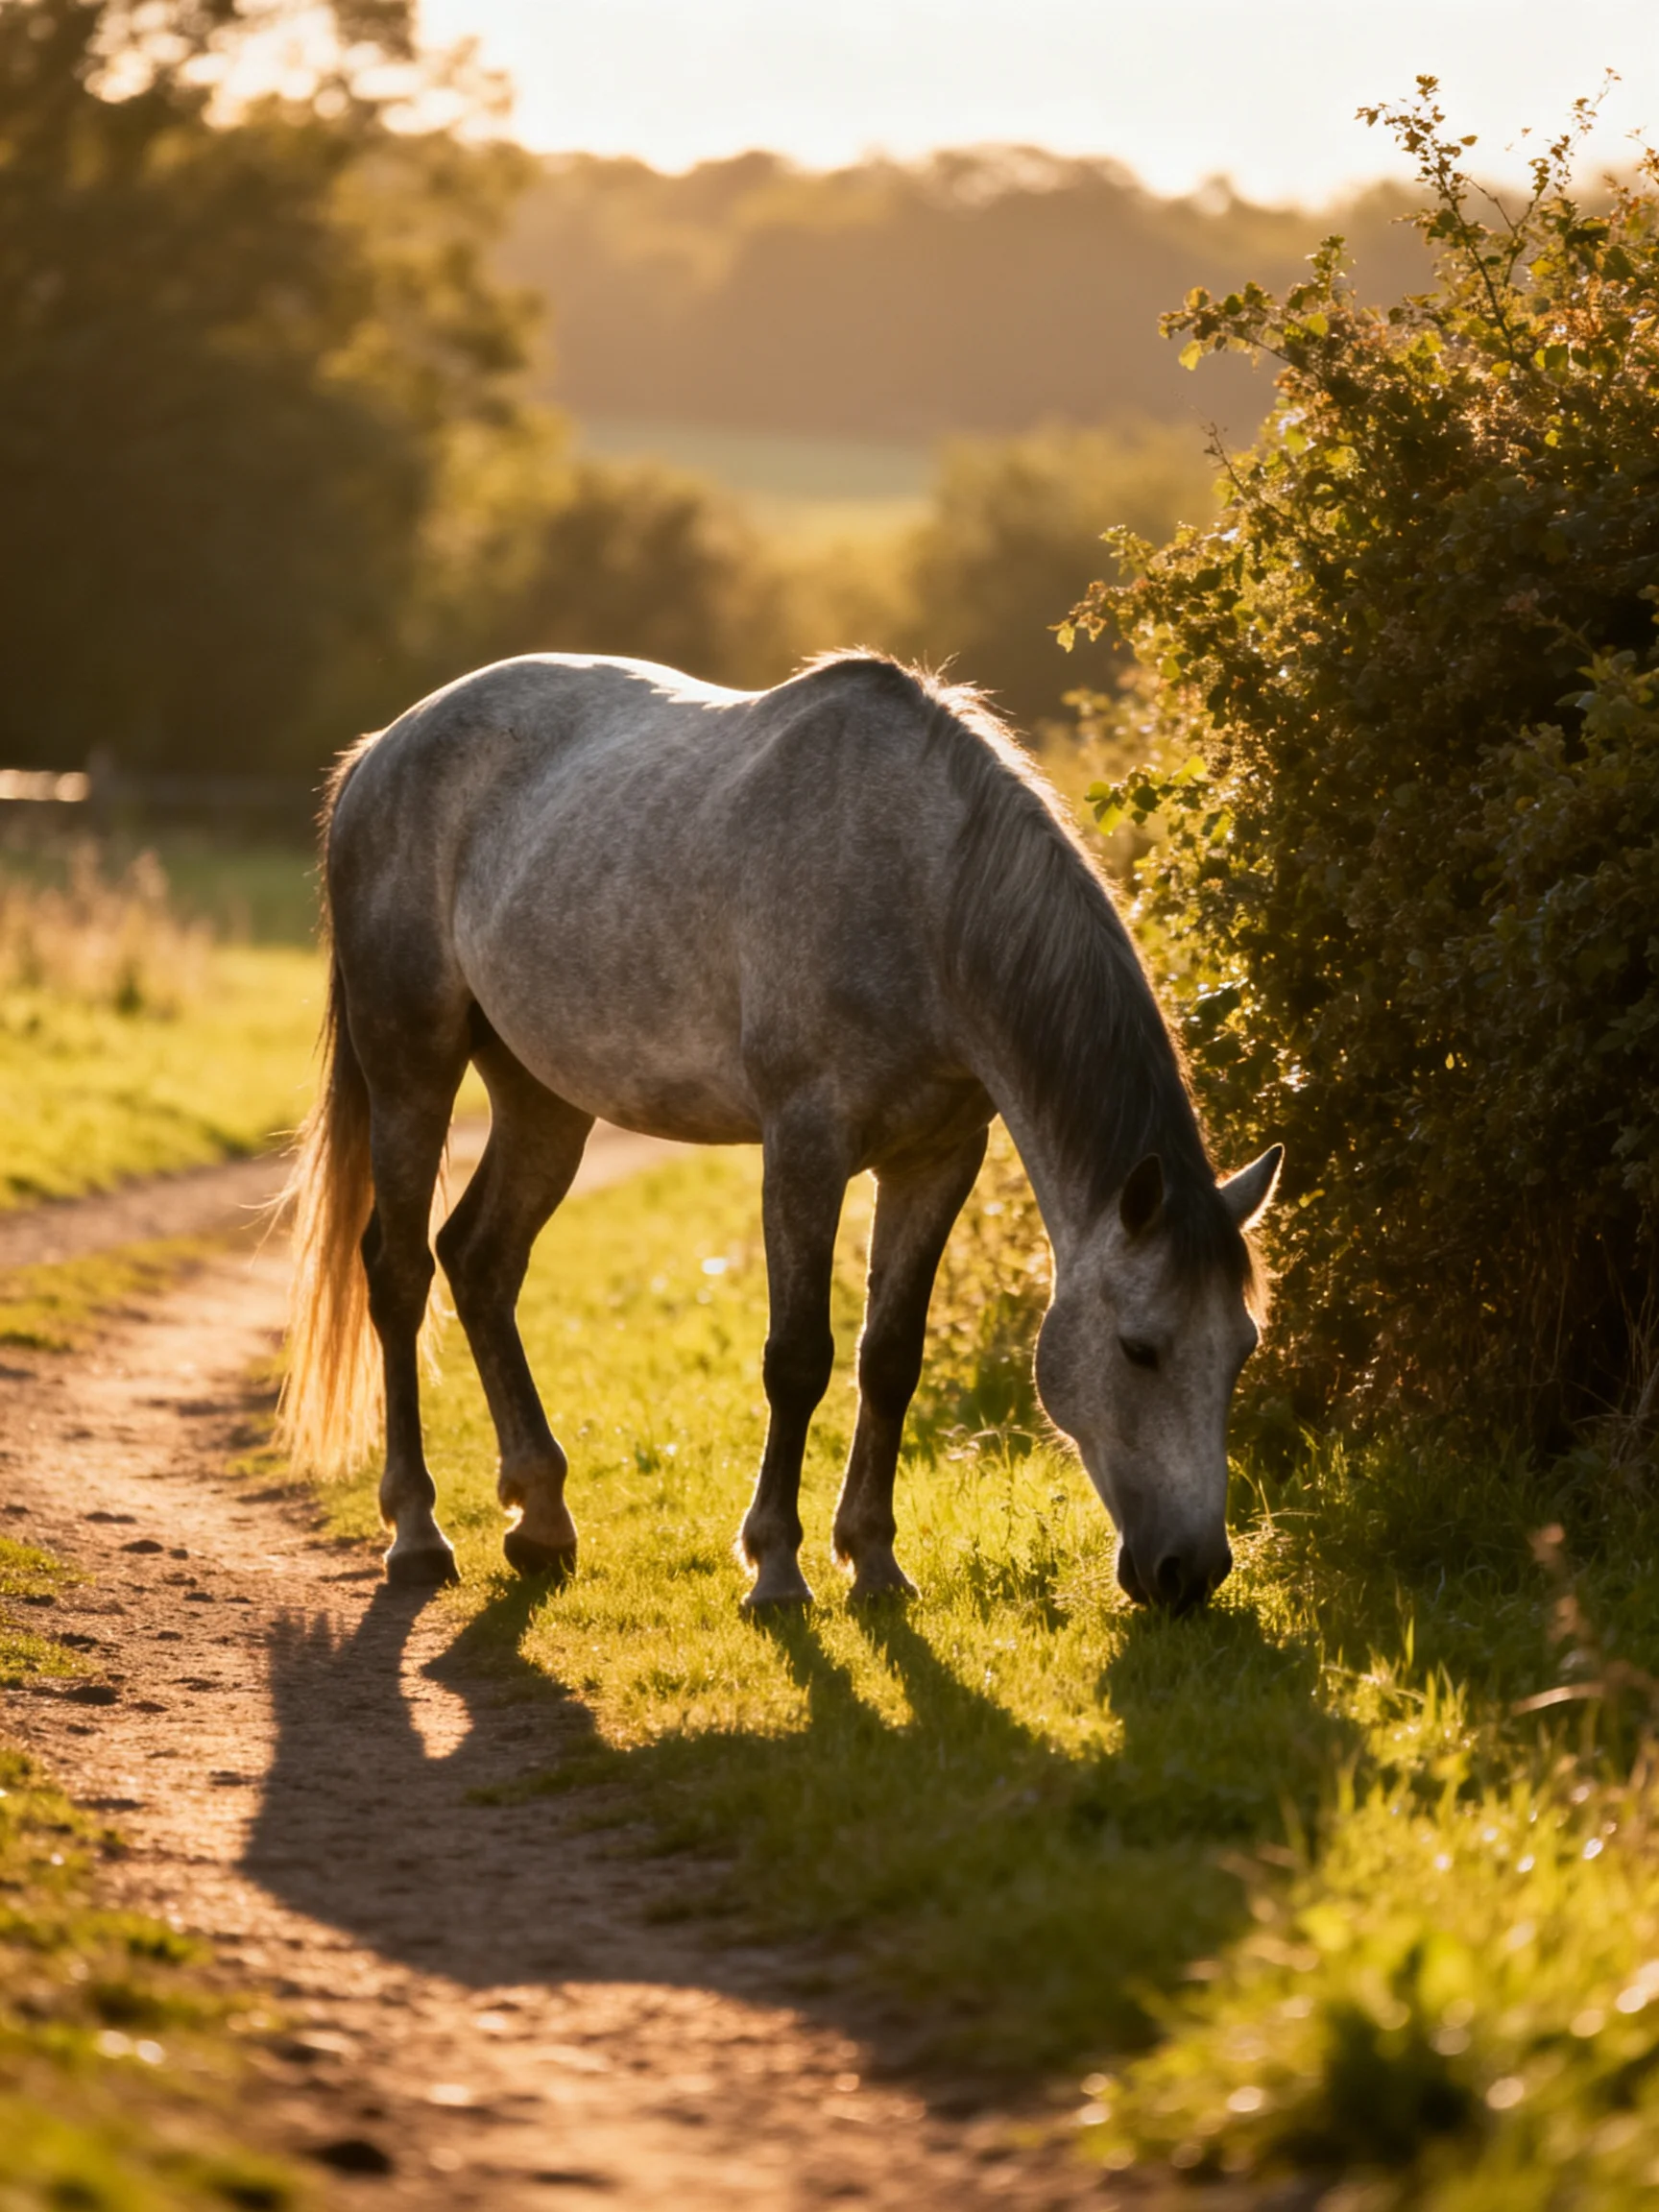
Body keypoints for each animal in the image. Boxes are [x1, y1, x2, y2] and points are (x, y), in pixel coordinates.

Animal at [278, 650, 1279, 1613]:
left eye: (1241, 1350)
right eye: (1140, 1349)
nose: (1190, 1573)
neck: (922, 889)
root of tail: (380, 751)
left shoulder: (937, 1161)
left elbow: (889, 1358)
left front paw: (874, 1562)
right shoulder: (805, 1147)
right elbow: (799, 1360)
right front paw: (777, 1568)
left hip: (543, 1099)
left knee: (480, 1259)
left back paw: (543, 1520)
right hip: (410, 1066)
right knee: (400, 1273)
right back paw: (418, 1533)